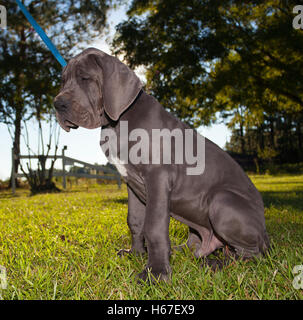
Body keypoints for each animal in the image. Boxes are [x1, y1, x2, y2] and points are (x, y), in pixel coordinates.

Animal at [54, 47, 270, 280]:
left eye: (85, 78)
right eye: (63, 81)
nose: (57, 104)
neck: (118, 122)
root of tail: (266, 235)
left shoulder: (157, 177)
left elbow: (154, 226)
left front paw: (156, 273)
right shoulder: (132, 183)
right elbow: (135, 220)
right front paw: (136, 253)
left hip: (222, 201)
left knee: (252, 255)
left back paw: (216, 263)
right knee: (198, 242)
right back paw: (183, 252)